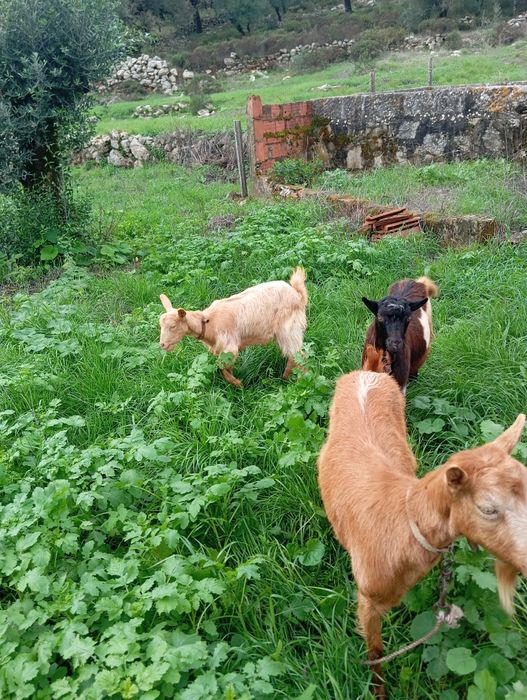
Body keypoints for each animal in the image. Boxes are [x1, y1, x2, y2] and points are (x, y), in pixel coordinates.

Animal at [159, 268, 308, 387]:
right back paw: (286, 378)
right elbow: (226, 369)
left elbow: (223, 369)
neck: (208, 323)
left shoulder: (229, 347)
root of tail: (297, 294)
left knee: (299, 355)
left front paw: (238, 385)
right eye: (160, 325)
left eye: (172, 326)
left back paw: (301, 380)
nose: (162, 344)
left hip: (288, 329)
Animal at [317, 370, 527, 698]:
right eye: (487, 508)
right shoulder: (367, 600)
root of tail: (368, 372)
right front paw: (379, 692)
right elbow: (376, 653)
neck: (402, 521)